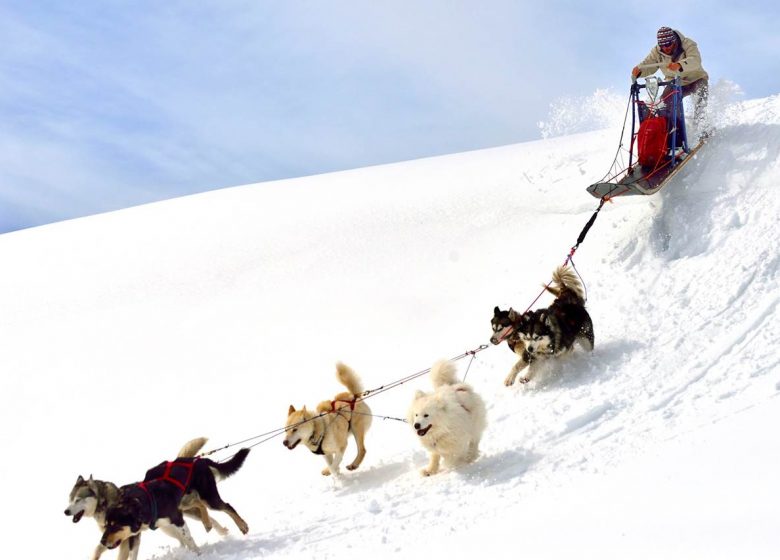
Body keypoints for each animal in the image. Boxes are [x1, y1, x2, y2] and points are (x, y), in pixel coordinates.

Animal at [64, 438, 229, 560]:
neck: (108, 501)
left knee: (205, 514)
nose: (66, 511)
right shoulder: (121, 536)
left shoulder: (126, 538)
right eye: (70, 500)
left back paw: (219, 530)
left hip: (182, 513)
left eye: (78, 500)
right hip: (169, 524)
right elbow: (98, 550)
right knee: (190, 528)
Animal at [99, 444, 248, 552]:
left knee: (227, 506)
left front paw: (198, 554)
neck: (144, 504)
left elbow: (189, 540)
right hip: (185, 502)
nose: (102, 542)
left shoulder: (177, 519)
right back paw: (207, 523)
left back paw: (243, 526)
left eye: (115, 526)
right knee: (199, 504)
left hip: (209, 498)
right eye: (106, 525)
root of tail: (198, 460)